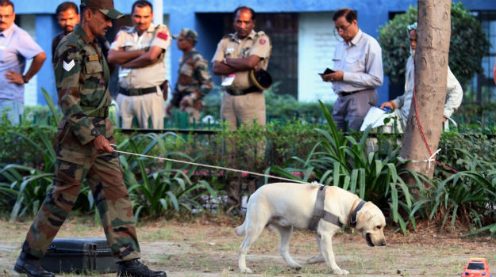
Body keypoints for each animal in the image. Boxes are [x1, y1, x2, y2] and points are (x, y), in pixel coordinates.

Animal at [236, 181, 388, 274]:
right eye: (378, 227)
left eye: (382, 227)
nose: (384, 243)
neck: (349, 206)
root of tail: (254, 193)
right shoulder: (325, 234)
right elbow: (330, 254)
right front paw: (337, 270)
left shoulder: (319, 235)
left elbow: (323, 253)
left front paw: (313, 260)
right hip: (256, 228)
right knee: (242, 248)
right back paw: (243, 268)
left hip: (287, 228)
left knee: (283, 249)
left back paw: (294, 265)